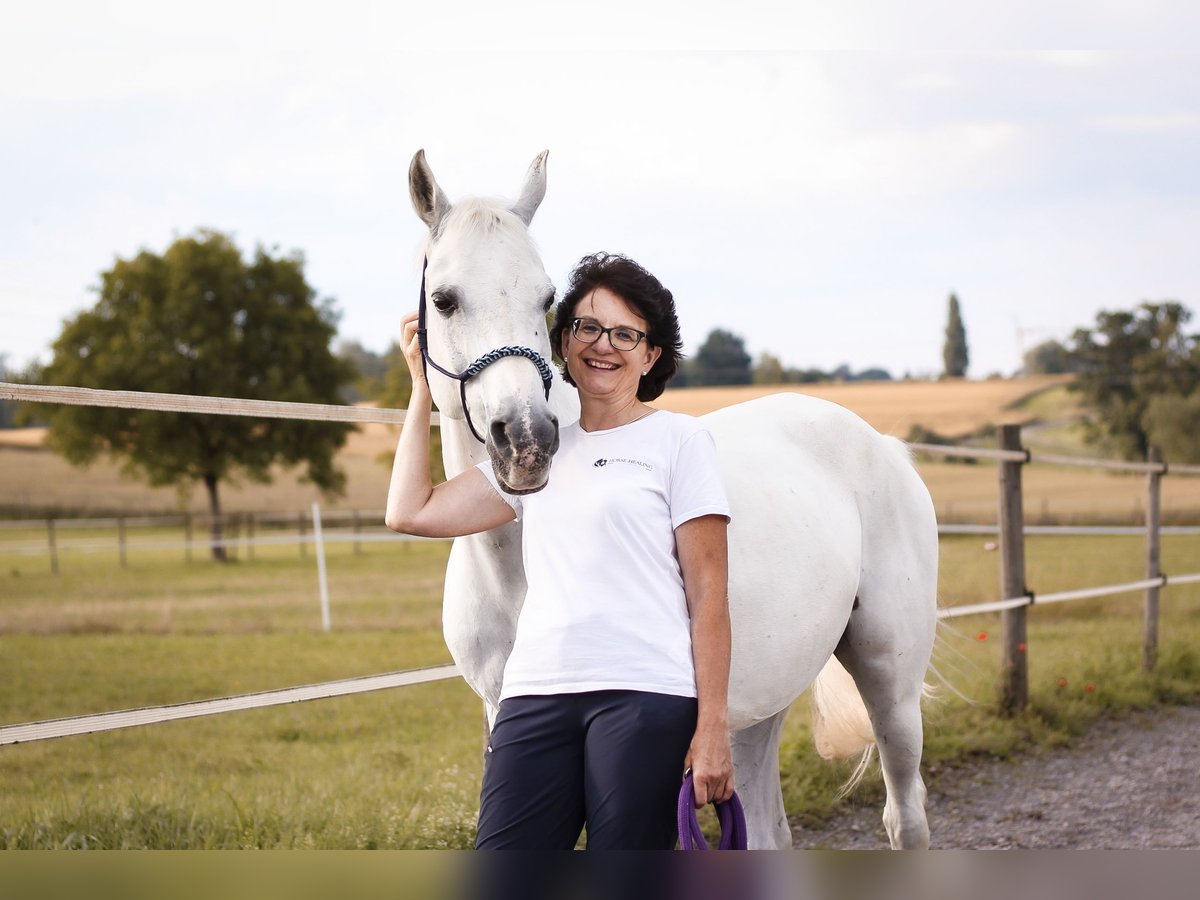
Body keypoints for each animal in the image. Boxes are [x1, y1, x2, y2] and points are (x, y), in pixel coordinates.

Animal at [408, 151, 940, 849]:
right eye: (443, 300)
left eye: (546, 298)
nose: (525, 440)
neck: (518, 572)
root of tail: (882, 445)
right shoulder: (504, 715)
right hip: (757, 710)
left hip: (890, 682)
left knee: (905, 814)